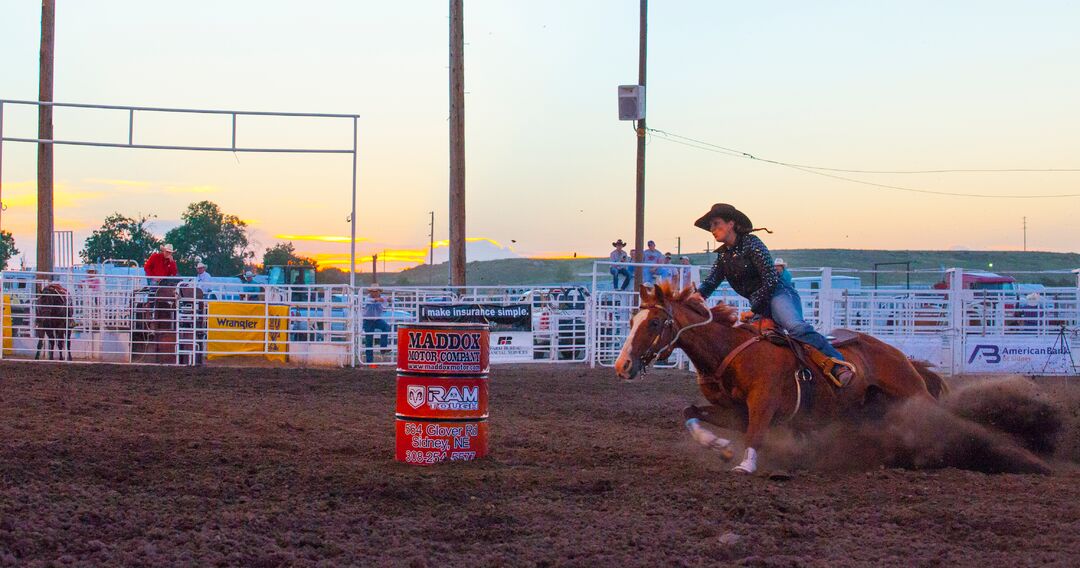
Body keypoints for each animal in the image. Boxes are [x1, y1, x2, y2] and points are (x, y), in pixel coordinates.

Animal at [617, 285, 946, 477]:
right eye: (632, 321)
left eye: (655, 323)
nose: (622, 365)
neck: (730, 350)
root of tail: (898, 354)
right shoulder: (736, 412)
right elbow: (691, 412)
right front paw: (719, 445)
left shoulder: (763, 403)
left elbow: (756, 434)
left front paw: (745, 464)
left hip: (912, 393)